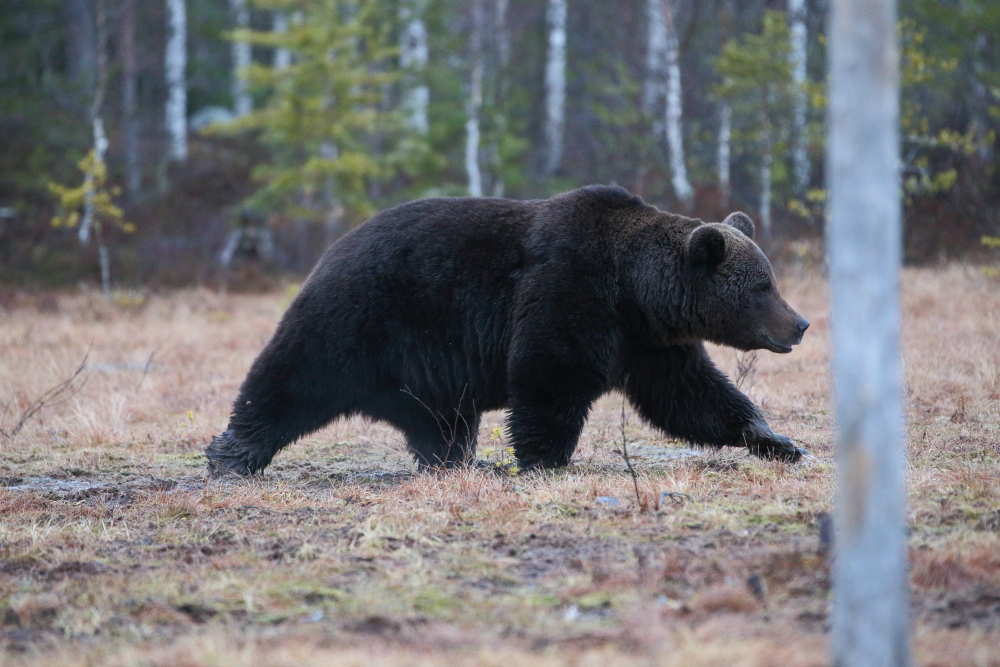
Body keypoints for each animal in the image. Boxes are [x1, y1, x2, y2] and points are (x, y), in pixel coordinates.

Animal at [207, 185, 808, 478]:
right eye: (762, 286)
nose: (800, 324)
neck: (634, 290)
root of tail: (333, 247)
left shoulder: (649, 342)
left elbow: (691, 396)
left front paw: (777, 441)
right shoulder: (568, 290)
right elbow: (550, 376)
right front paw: (544, 459)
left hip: (427, 368)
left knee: (440, 421)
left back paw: (452, 461)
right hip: (362, 314)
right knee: (294, 377)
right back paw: (231, 454)